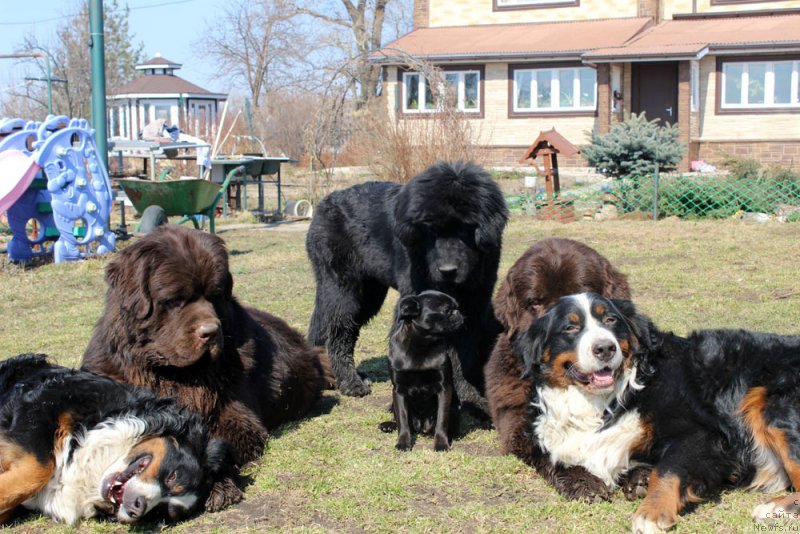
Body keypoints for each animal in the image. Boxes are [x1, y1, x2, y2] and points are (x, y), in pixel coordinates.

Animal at [306, 159, 506, 402]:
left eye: (465, 228)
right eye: (431, 230)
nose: (447, 270)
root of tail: (321, 207)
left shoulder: (474, 304)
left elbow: (464, 355)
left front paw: (470, 396)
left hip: (367, 294)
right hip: (344, 290)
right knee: (338, 334)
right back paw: (351, 383)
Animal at [380, 294, 462, 452]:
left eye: (455, 308)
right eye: (446, 310)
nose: (458, 313)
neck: (421, 346)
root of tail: (421, 427)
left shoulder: (445, 389)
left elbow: (442, 420)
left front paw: (441, 443)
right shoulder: (398, 391)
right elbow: (402, 420)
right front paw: (403, 443)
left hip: (455, 406)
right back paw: (388, 425)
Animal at [510, 296, 800, 532]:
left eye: (611, 320)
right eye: (570, 327)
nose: (605, 348)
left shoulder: (701, 434)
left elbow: (667, 469)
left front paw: (652, 511)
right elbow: (549, 459)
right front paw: (584, 482)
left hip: (772, 406)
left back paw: (776, 507)